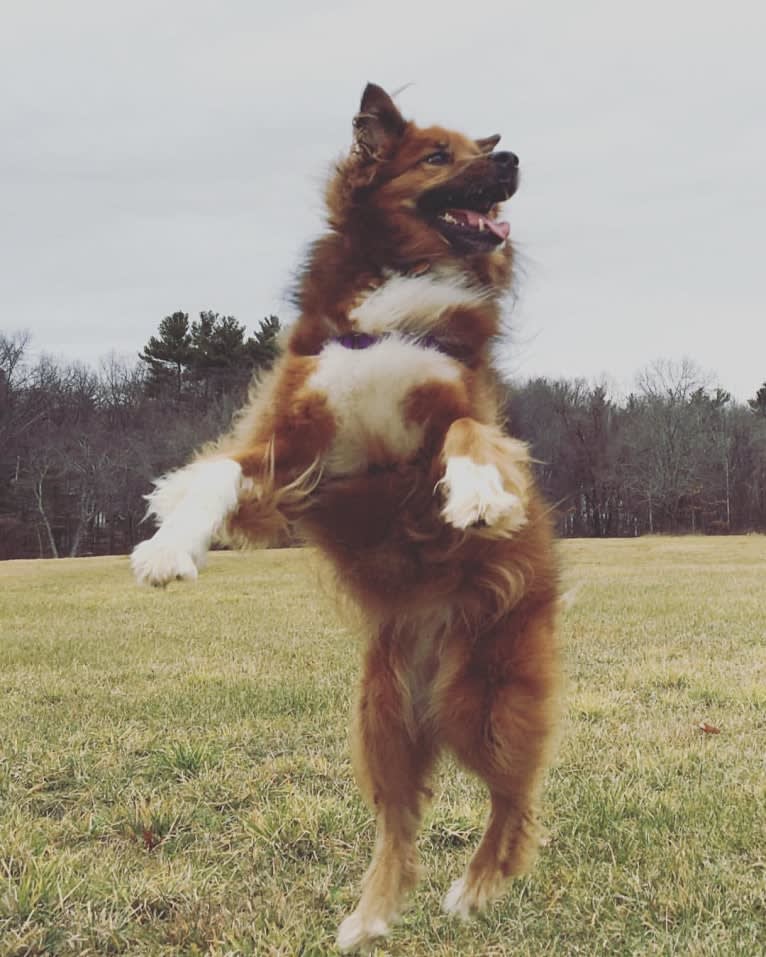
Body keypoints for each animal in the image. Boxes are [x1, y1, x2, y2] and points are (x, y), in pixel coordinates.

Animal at [134, 86, 564, 952]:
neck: (403, 283)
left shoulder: (442, 425)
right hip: (380, 720)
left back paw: (475, 888)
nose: (510, 160)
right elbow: (216, 472)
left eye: (480, 149)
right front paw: (169, 546)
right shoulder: (295, 457)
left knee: (514, 801)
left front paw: (479, 495)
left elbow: (470, 436)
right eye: (437, 155)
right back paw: (368, 917)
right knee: (398, 821)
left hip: (492, 700)